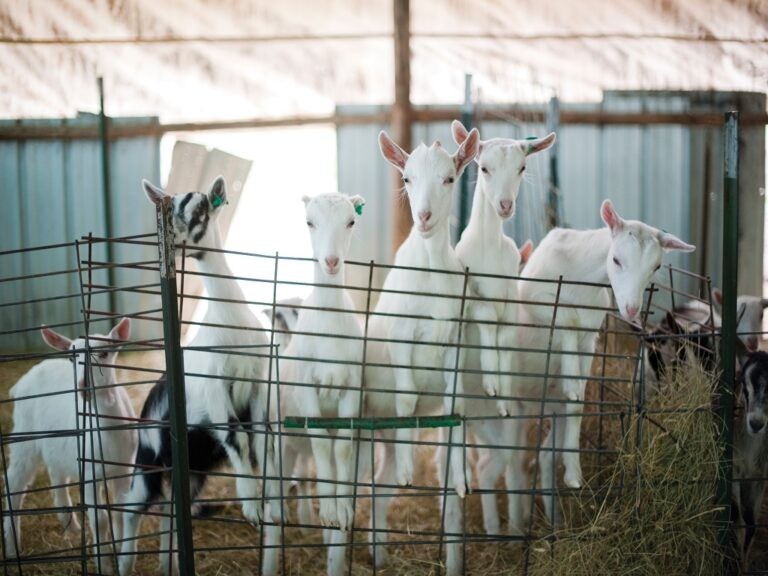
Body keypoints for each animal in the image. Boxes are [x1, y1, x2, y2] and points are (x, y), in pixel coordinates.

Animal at [3, 319, 136, 575]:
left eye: (104, 353)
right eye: (73, 358)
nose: (83, 386)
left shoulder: (124, 469)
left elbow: (121, 513)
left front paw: (121, 555)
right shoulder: (91, 472)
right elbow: (99, 518)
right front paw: (104, 564)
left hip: (57, 446)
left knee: (57, 476)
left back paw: (71, 526)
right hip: (25, 436)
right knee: (14, 482)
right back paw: (12, 549)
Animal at [118, 176, 275, 576]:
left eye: (198, 204)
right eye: (169, 206)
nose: (173, 236)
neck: (230, 326)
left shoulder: (257, 385)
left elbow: (260, 437)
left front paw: (268, 497)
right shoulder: (216, 393)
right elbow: (237, 438)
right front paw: (252, 507)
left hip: (191, 470)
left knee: (172, 511)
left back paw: (166, 564)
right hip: (148, 460)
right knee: (133, 507)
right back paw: (124, 563)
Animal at [262, 192, 366, 576]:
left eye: (351, 221)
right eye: (309, 221)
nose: (332, 261)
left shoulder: (352, 384)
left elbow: (341, 447)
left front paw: (342, 511)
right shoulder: (307, 386)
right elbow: (322, 440)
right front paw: (332, 509)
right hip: (281, 438)